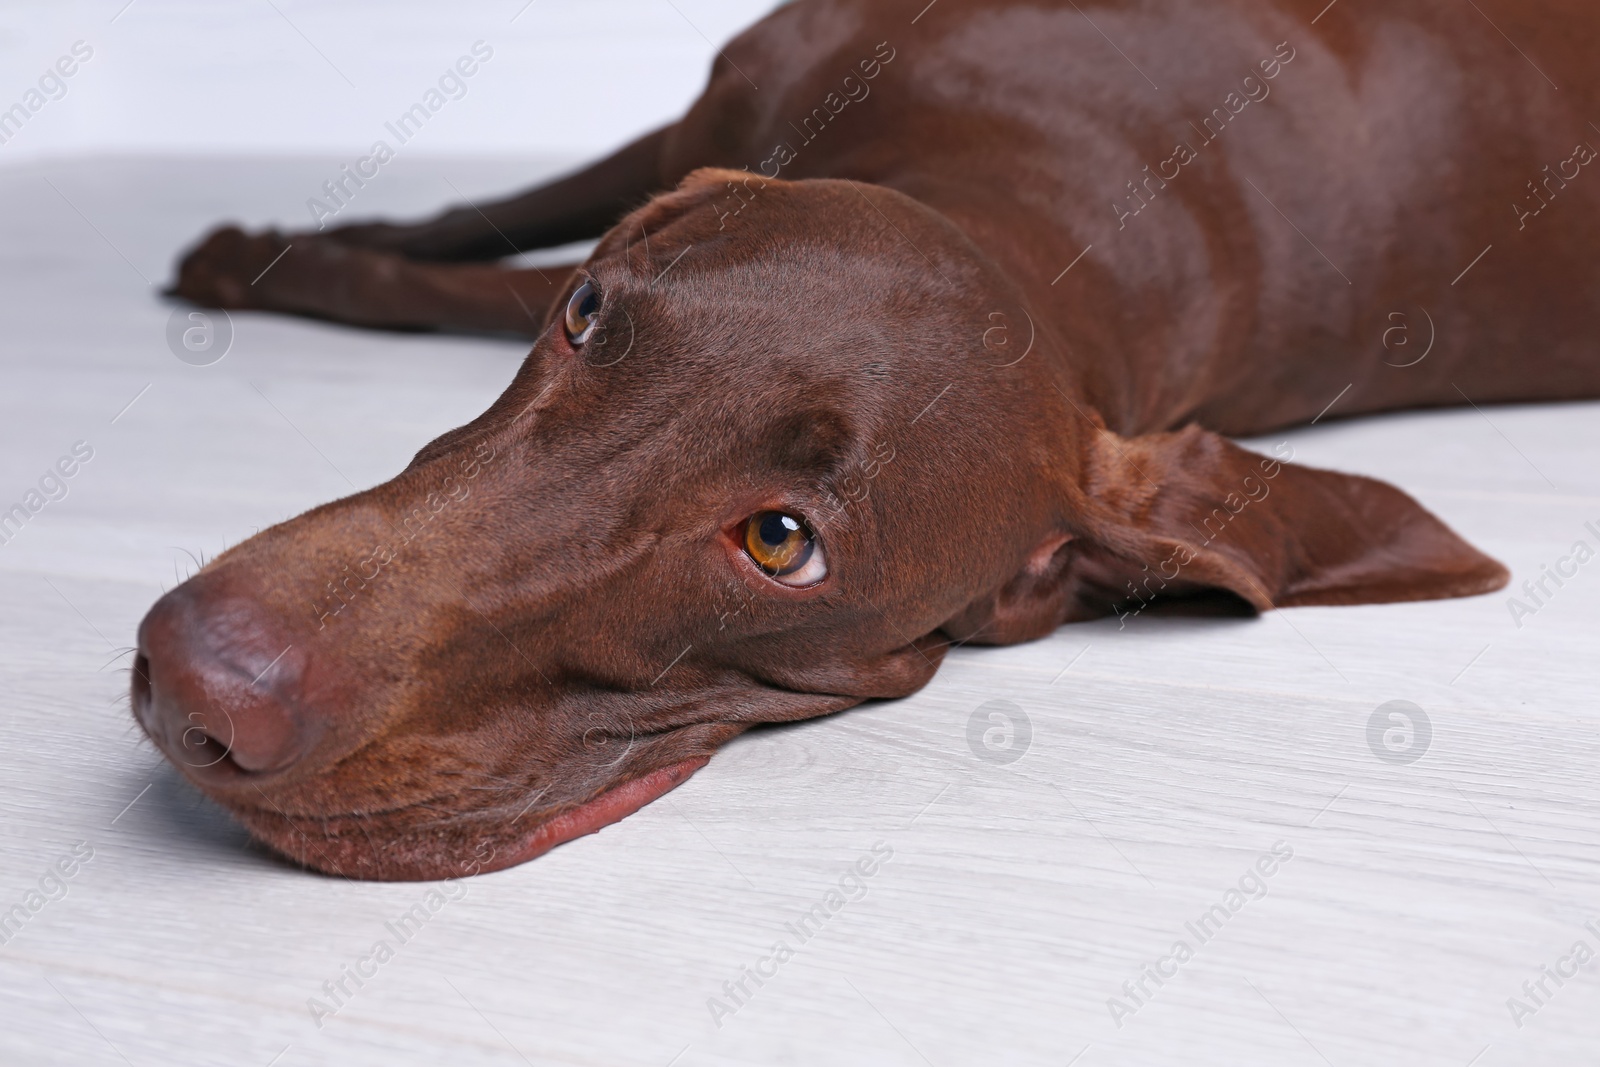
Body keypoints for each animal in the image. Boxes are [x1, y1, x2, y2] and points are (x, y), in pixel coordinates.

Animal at [144, 0, 1593, 883]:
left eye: (780, 542)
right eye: (589, 317)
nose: (200, 676)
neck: (1041, 204)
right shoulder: (705, 124)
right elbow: (470, 235)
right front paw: (289, 246)